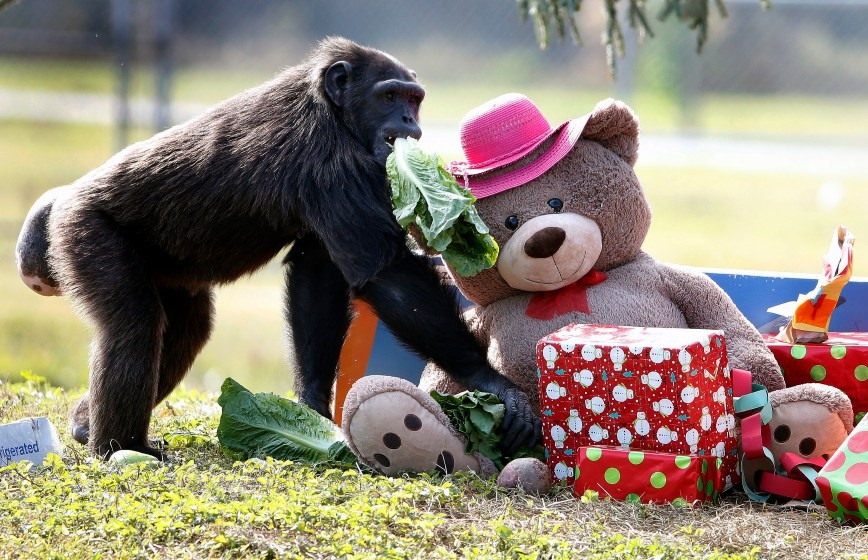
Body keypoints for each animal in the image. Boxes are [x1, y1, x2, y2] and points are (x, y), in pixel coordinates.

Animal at [17, 37, 540, 462]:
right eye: (390, 97)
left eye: (414, 99)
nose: (409, 120)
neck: (335, 112)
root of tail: (59, 205)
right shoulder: (333, 161)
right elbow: (386, 274)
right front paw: (492, 382)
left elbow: (318, 274)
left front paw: (312, 407)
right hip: (86, 235)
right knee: (134, 326)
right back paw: (120, 447)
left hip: (163, 271)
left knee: (185, 328)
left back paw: (86, 424)